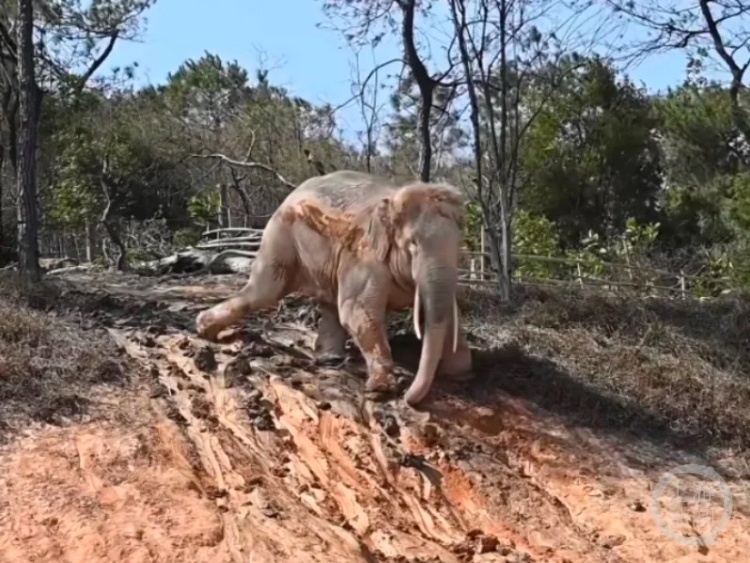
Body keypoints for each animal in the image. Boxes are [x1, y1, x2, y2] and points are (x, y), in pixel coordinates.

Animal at [197, 170, 472, 408]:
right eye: (413, 244)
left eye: (458, 244)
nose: (408, 397)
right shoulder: (363, 257)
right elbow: (357, 312)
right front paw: (381, 389)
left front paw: (459, 370)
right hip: (280, 236)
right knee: (265, 291)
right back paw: (203, 327)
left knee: (326, 304)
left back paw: (330, 358)